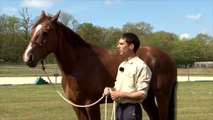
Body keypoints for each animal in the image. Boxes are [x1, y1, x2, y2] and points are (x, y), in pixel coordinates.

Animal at [22, 10, 176, 119]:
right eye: (33, 29)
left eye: (45, 32)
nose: (28, 57)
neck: (79, 65)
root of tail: (168, 57)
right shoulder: (77, 106)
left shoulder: (91, 105)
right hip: (146, 98)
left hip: (162, 95)